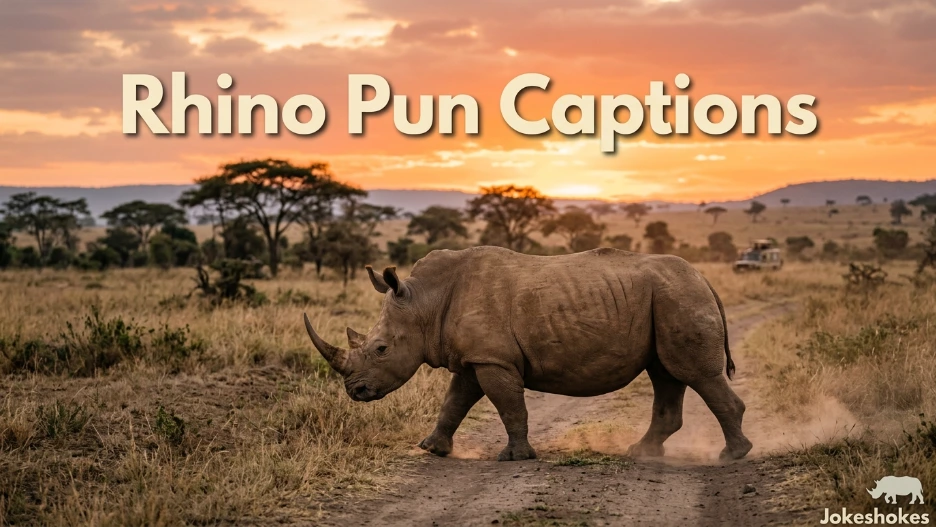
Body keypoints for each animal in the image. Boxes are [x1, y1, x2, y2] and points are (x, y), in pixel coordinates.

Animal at [302, 246, 753, 461]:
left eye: (380, 349)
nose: (355, 392)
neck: (424, 302)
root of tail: (704, 277)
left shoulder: (493, 359)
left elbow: (508, 405)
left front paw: (515, 457)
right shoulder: (477, 357)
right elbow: (454, 401)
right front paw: (431, 449)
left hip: (679, 296)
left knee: (695, 375)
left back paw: (731, 456)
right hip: (668, 298)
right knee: (666, 375)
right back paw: (641, 453)